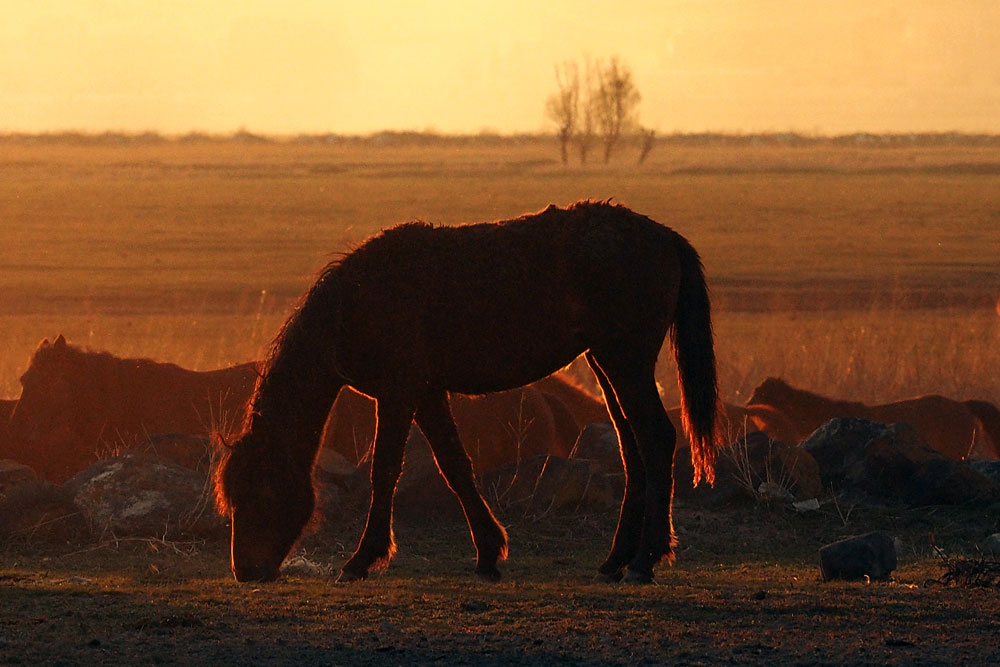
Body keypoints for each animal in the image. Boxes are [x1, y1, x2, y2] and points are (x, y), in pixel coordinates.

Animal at [215, 202, 724, 584]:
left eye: (259, 491)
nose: (246, 571)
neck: (356, 303)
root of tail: (664, 238)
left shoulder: (398, 393)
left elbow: (385, 471)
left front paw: (362, 559)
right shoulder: (425, 394)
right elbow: (455, 466)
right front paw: (489, 552)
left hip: (626, 363)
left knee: (656, 440)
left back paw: (645, 560)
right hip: (607, 363)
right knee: (632, 448)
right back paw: (616, 559)